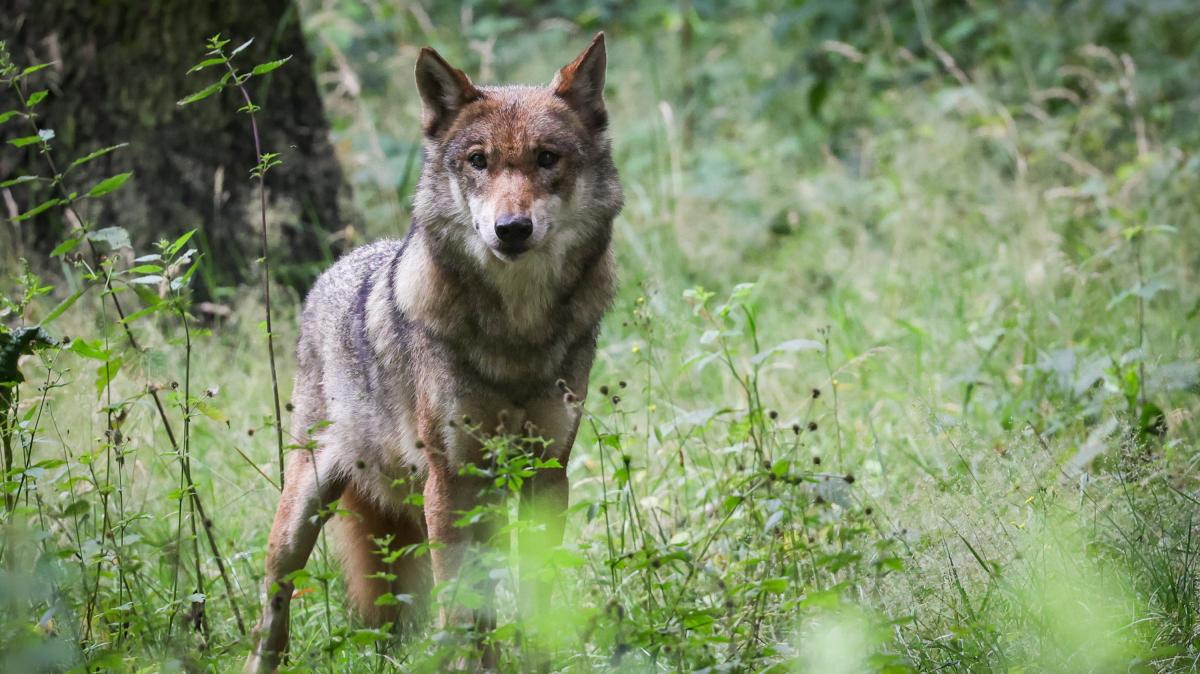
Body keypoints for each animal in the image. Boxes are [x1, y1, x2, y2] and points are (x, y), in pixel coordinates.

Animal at [242, 31, 619, 666]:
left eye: (547, 158)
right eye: (478, 161)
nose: (511, 229)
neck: (516, 334)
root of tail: (336, 268)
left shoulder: (546, 473)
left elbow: (534, 599)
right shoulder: (450, 480)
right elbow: (460, 607)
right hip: (303, 511)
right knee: (272, 606)